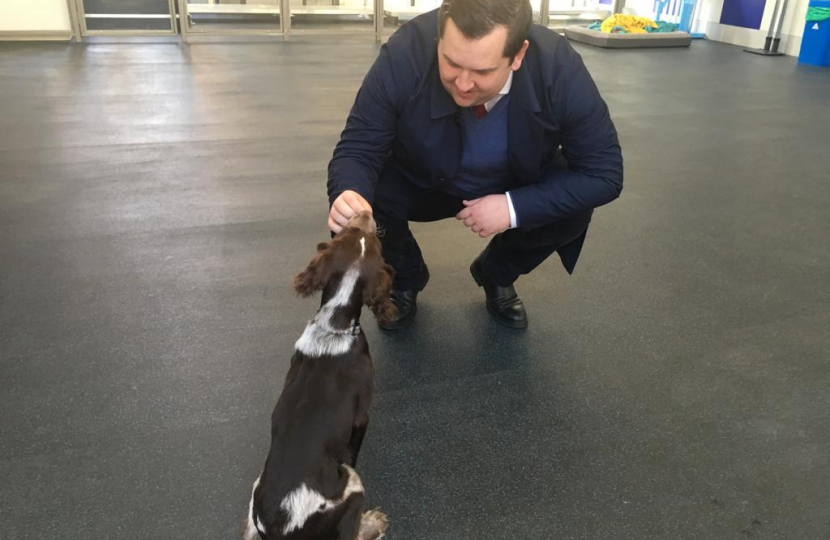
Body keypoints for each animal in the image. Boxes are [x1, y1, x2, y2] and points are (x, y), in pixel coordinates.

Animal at [244, 211, 396, 540]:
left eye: (350, 232)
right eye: (373, 240)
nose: (365, 212)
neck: (333, 325)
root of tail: (280, 529)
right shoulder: (361, 417)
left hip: (255, 489)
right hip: (352, 483)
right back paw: (373, 523)